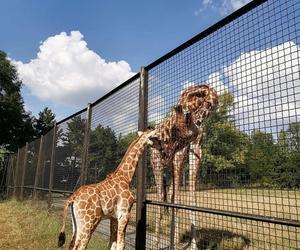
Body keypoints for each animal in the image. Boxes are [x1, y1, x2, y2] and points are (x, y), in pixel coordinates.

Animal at [150, 85, 218, 249]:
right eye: (207, 103)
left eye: (212, 108)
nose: (198, 122)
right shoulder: (179, 151)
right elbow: (176, 199)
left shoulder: (196, 149)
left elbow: (191, 198)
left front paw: (193, 245)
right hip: (157, 162)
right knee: (160, 197)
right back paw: (155, 244)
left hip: (168, 164)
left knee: (168, 195)